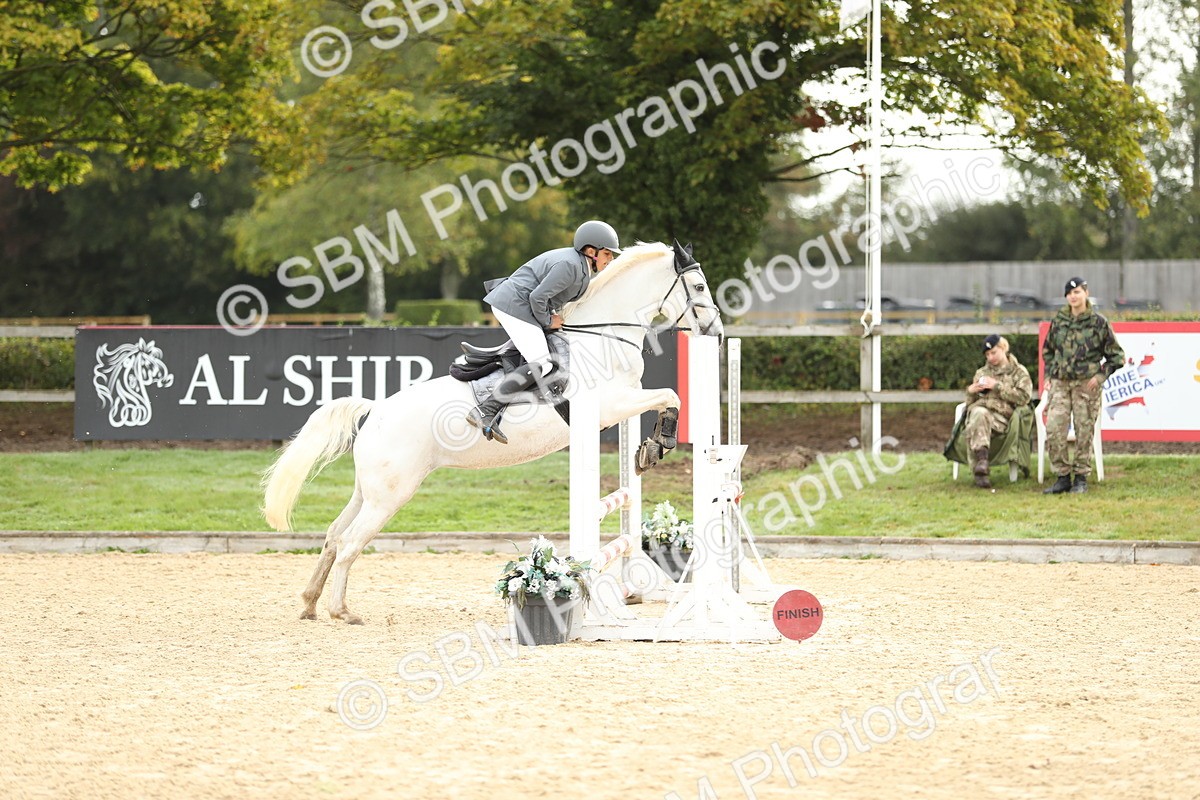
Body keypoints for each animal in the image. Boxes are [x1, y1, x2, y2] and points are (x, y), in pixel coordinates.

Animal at [262, 240, 724, 624]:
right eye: (699, 285)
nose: (717, 334)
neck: (603, 336)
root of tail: (376, 410)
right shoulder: (609, 405)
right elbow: (670, 395)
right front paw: (660, 444)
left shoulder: (623, 401)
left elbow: (664, 399)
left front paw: (648, 449)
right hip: (390, 495)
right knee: (351, 542)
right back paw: (341, 611)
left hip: (368, 491)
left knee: (333, 536)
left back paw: (310, 603)